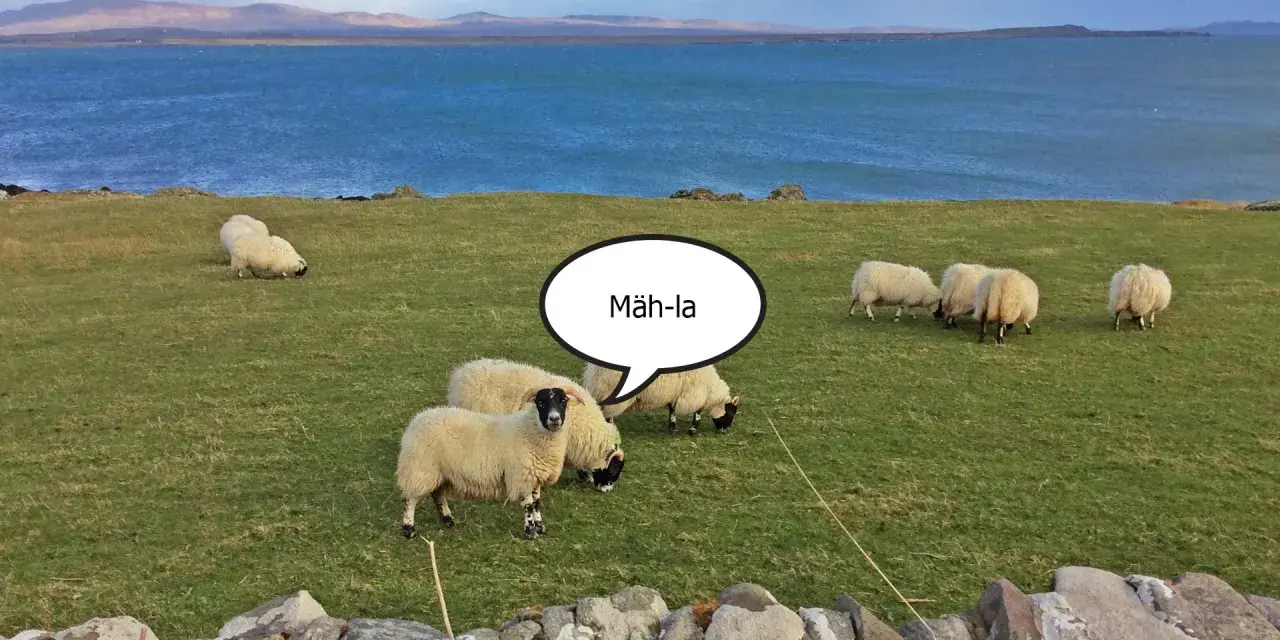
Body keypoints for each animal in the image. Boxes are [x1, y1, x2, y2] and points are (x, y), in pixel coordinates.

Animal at [397, 386, 584, 540]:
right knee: (409, 499)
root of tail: (417, 419)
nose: (554, 419)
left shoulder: (535, 477)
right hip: (420, 468)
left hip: (439, 471)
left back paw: (448, 520)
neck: (530, 431)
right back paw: (409, 530)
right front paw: (530, 532)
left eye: (563, 401)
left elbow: (537, 504)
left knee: (437, 494)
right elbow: (529, 506)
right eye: (540, 402)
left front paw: (540, 527)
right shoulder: (521, 477)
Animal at [581, 364, 740, 436]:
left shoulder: (675, 394)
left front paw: (673, 428)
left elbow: (672, 410)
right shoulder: (694, 393)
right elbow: (698, 411)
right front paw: (693, 429)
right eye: (732, 413)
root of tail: (595, 370)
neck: (710, 388)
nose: (725, 431)